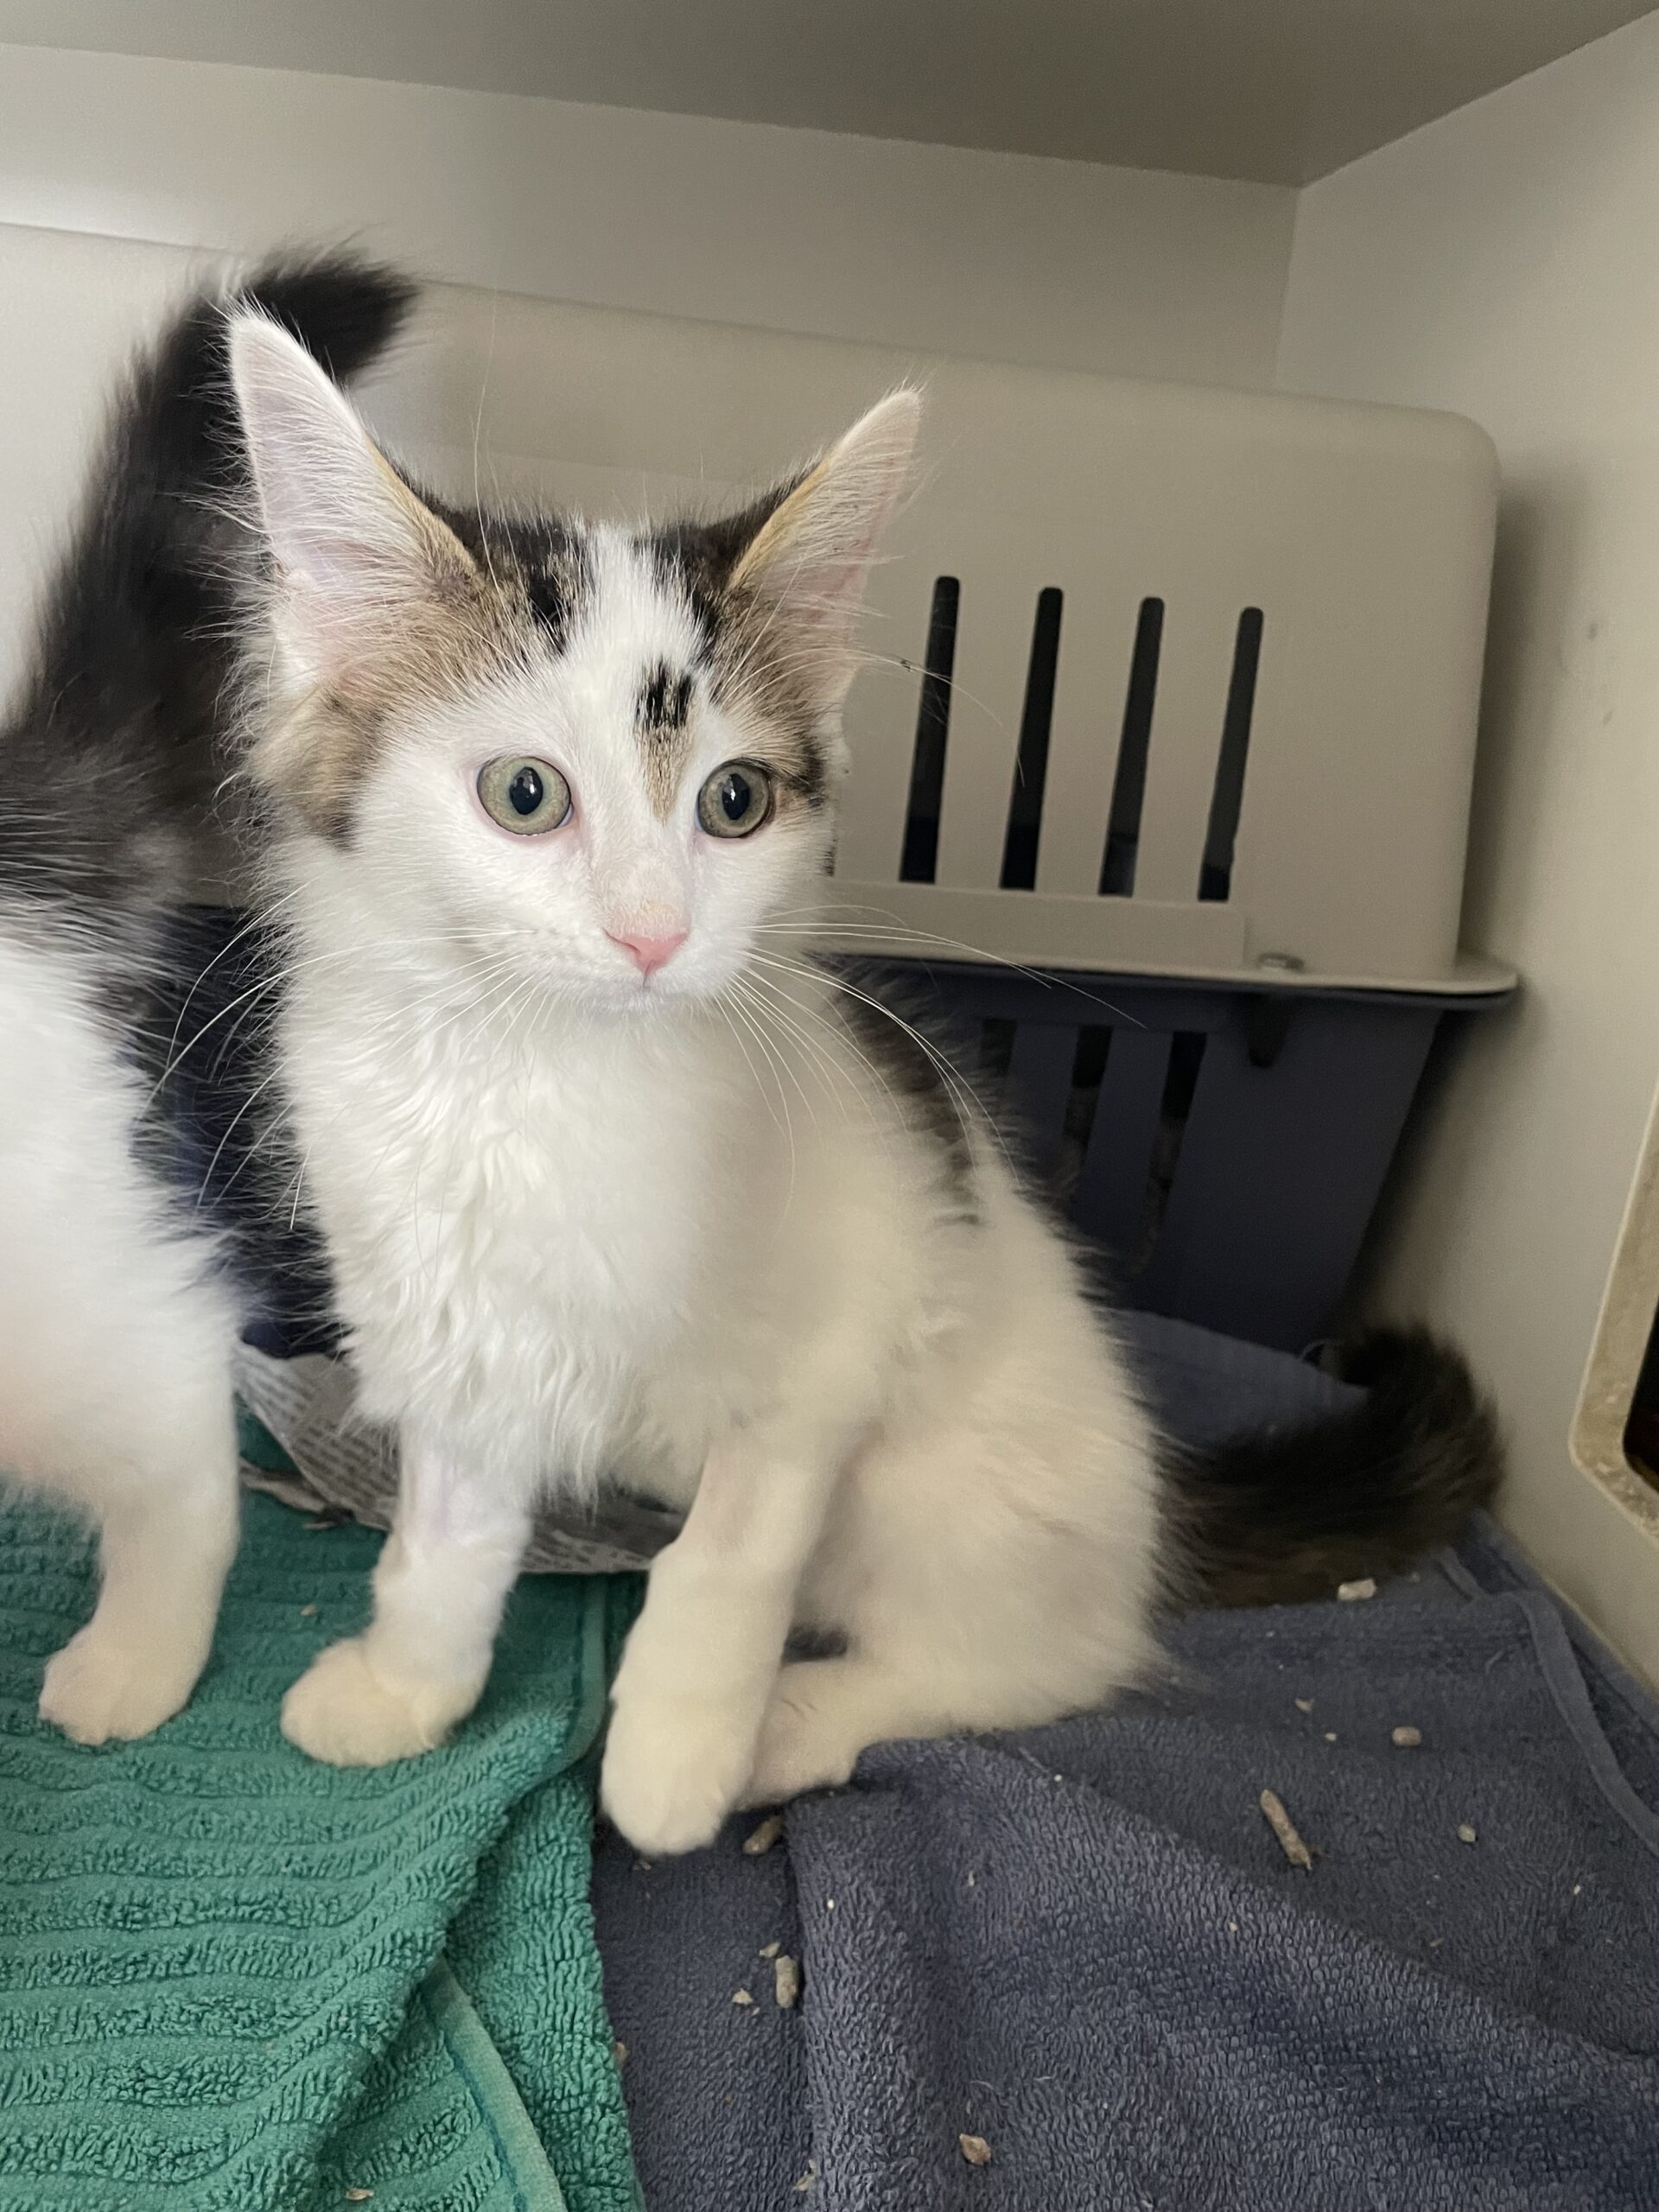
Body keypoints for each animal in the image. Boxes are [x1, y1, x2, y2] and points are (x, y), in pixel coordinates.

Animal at [0, 256, 1498, 1853]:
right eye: (525, 794)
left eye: (735, 801)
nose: (657, 934)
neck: (552, 1079)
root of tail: (1157, 1499)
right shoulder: (457, 1331)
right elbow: (447, 1540)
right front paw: (409, 1688)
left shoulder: (826, 1367)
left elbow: (723, 1563)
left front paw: (671, 1765)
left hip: (953, 1496)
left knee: (1025, 1660)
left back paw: (793, 1724)